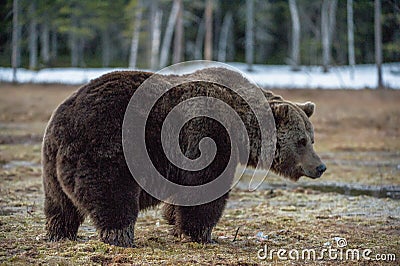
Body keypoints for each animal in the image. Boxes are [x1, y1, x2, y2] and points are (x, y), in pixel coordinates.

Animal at [42, 69, 326, 247]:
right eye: (302, 141)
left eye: (312, 139)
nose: (320, 166)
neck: (241, 129)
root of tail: (63, 121)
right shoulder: (208, 137)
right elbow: (204, 191)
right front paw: (202, 234)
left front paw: (174, 222)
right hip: (109, 147)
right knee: (113, 195)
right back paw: (121, 236)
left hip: (51, 164)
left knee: (60, 204)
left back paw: (61, 233)